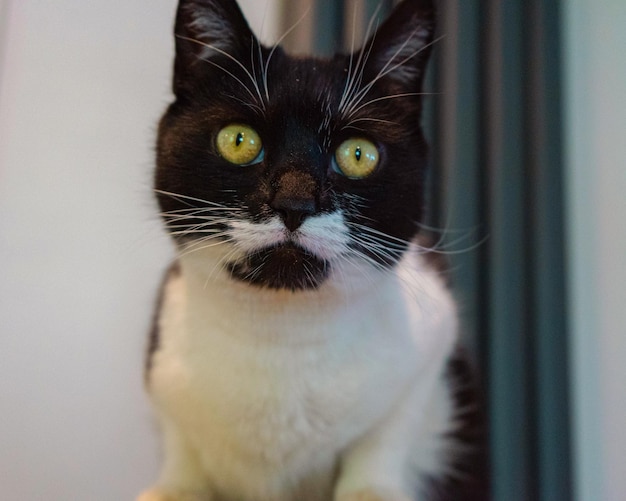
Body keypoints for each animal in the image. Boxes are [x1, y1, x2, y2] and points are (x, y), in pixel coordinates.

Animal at [139, 0, 486, 500]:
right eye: (238, 140)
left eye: (358, 154)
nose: (294, 202)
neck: (283, 337)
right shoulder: (164, 375)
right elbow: (180, 446)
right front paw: (176, 487)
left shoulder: (433, 343)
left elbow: (385, 436)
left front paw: (370, 489)